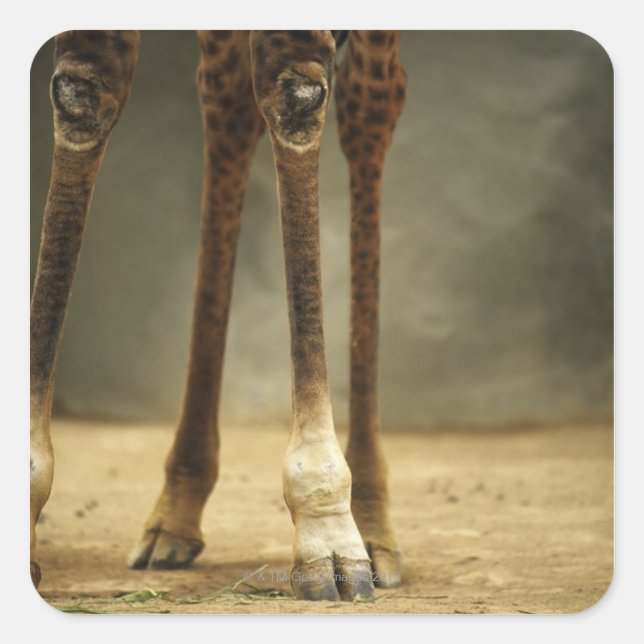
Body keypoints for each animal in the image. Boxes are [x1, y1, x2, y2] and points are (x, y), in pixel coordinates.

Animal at [30, 30, 407, 601]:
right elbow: (84, 87)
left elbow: (296, 90)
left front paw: (326, 532)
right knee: (227, 100)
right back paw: (175, 515)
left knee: (372, 105)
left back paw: (372, 526)